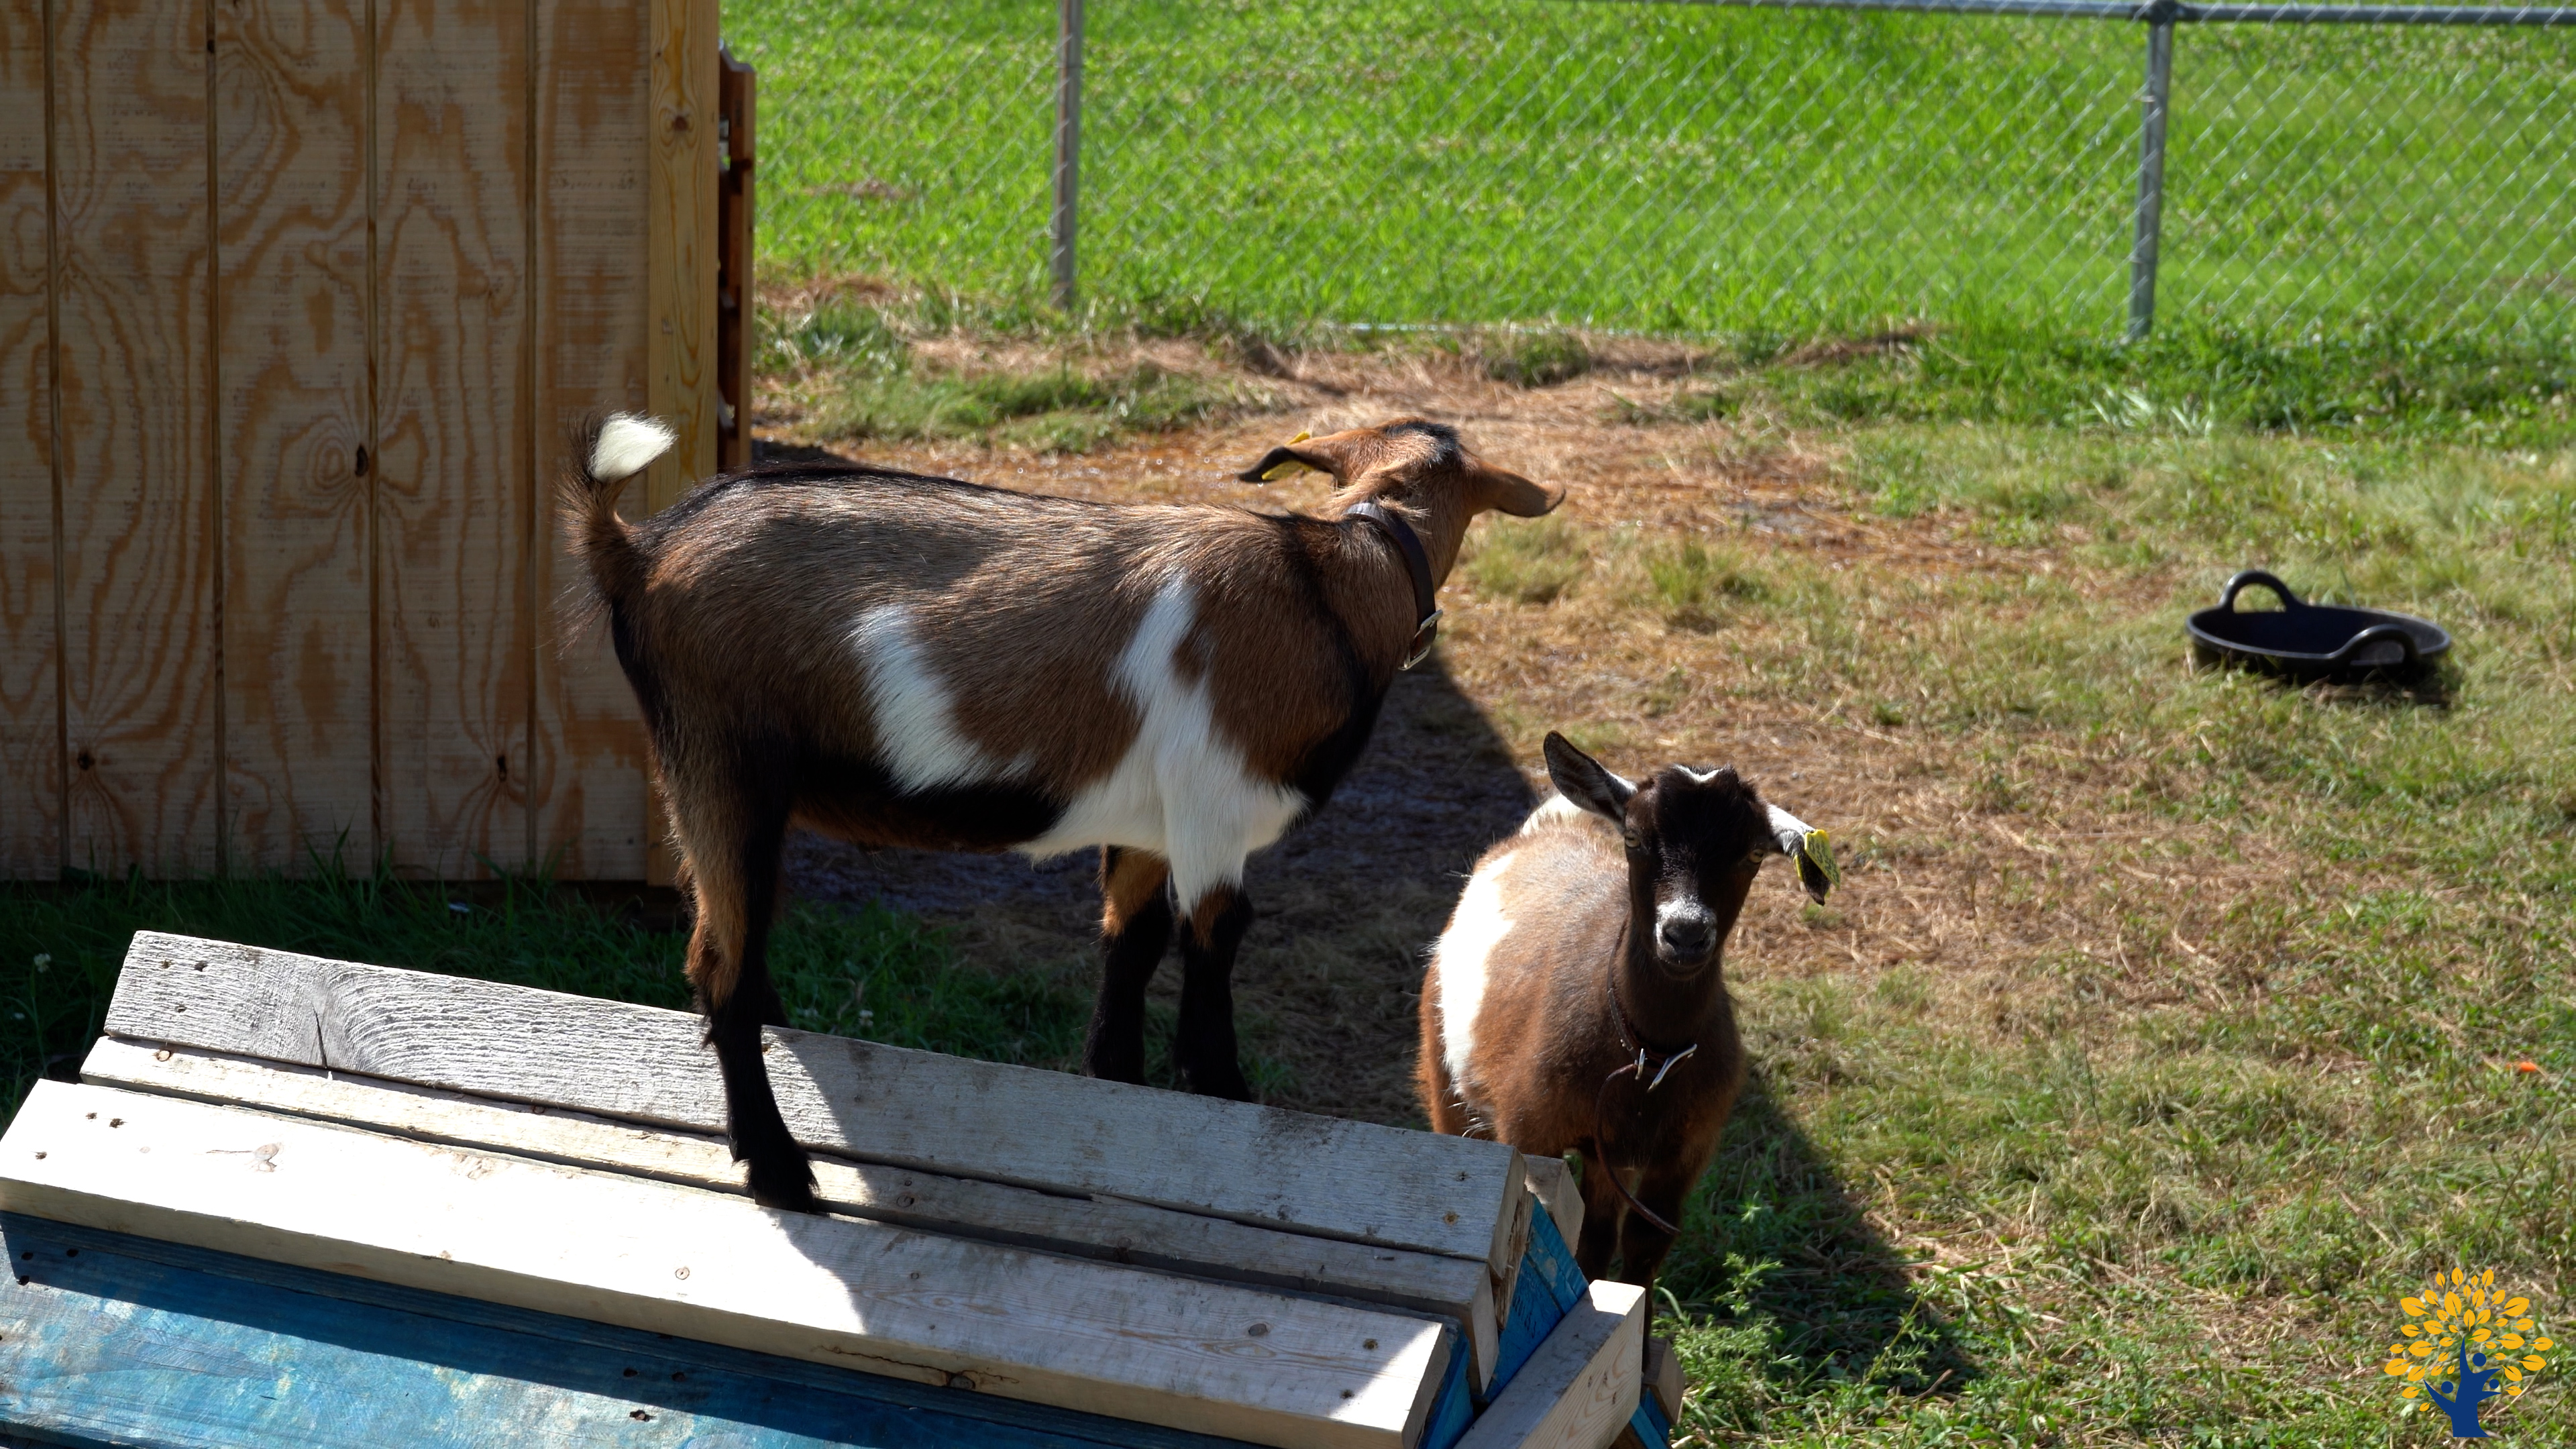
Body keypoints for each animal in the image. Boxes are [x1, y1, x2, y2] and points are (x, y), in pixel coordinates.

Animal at [563, 414, 1563, 1210]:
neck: (1335, 583)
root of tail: (638, 552)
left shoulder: (1148, 825)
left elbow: (1131, 942)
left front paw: (1116, 1085)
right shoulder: (1215, 812)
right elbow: (1213, 946)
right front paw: (1224, 1097)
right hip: (723, 767)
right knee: (718, 966)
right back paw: (779, 1172)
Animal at [1415, 732, 1835, 1286]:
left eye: (1751, 853)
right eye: (1634, 837)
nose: (1684, 933)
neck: (1645, 1051)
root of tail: (1549, 827)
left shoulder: (1683, 1154)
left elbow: (1640, 1245)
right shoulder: (1531, 1133)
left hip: (1612, 1153)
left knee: (1597, 1233)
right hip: (1446, 1069)